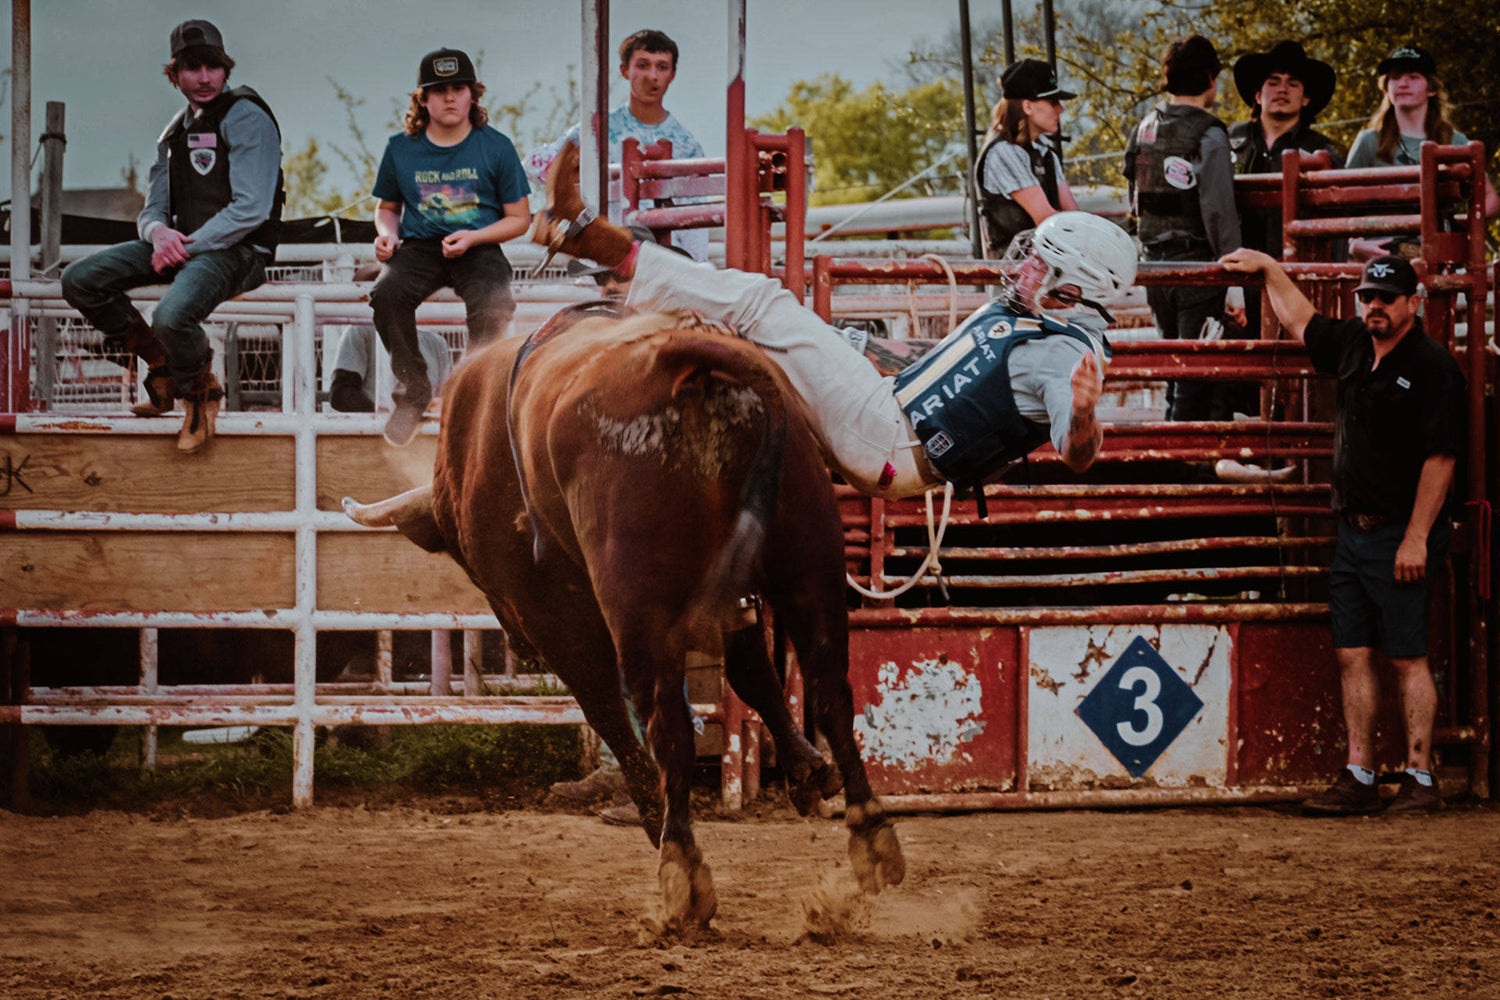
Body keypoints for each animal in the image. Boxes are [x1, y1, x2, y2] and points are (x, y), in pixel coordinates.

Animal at [343, 310, 900, 929]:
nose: (517, 641)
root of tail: (699, 363)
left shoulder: (557, 618)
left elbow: (605, 706)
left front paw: (654, 816)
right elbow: (753, 673)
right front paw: (805, 770)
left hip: (639, 606)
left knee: (667, 724)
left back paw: (681, 867)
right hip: (808, 558)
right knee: (830, 691)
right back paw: (870, 834)